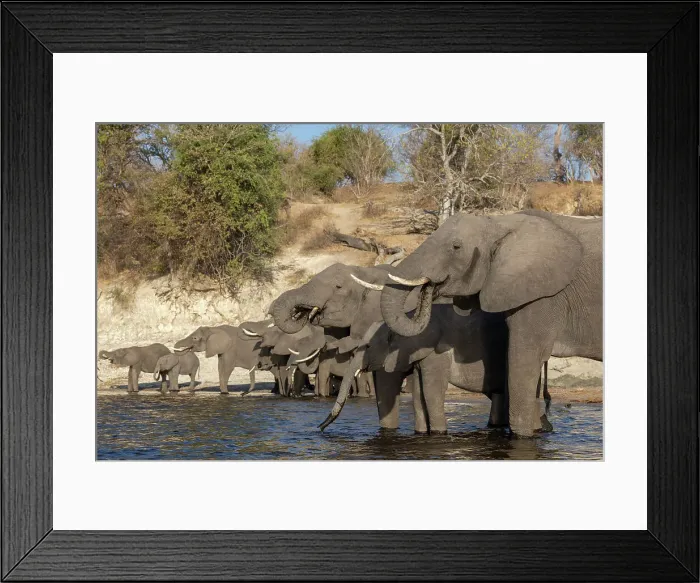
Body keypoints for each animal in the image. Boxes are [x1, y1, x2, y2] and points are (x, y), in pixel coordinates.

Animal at [379, 209, 601, 437]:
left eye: (456, 247)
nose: (430, 287)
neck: (499, 223)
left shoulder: (543, 295)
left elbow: (523, 361)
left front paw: (521, 437)